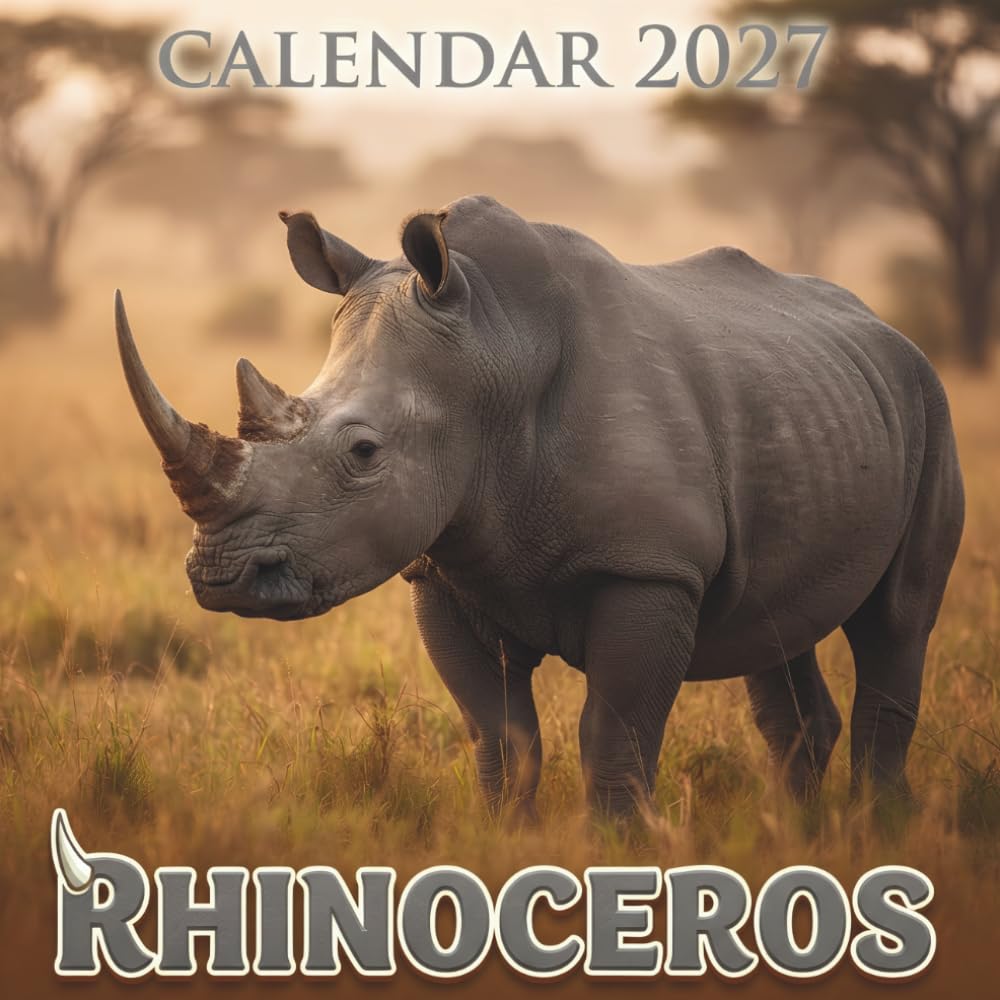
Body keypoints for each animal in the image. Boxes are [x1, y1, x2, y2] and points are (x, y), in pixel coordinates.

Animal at [116, 195, 964, 817]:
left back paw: (873, 834)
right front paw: (503, 844)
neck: (491, 352)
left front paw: (618, 857)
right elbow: (500, 739)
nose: (220, 577)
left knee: (896, 619)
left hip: (927, 403)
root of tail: (884, 326)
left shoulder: (650, 568)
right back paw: (797, 836)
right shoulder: (441, 570)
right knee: (778, 630)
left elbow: (614, 737)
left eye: (362, 453)